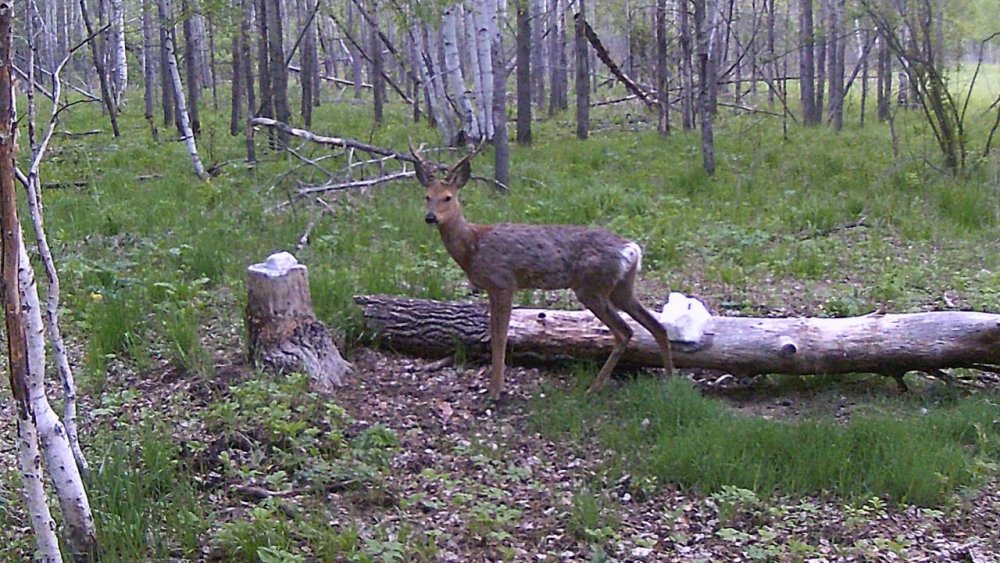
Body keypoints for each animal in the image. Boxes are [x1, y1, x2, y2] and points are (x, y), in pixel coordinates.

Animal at [410, 144, 676, 400]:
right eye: (427, 196)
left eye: (447, 197)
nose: (430, 217)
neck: (473, 246)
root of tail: (632, 250)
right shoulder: (493, 287)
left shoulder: (503, 282)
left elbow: (499, 337)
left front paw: (496, 390)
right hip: (621, 287)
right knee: (656, 326)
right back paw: (669, 379)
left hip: (592, 286)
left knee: (624, 331)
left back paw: (594, 388)